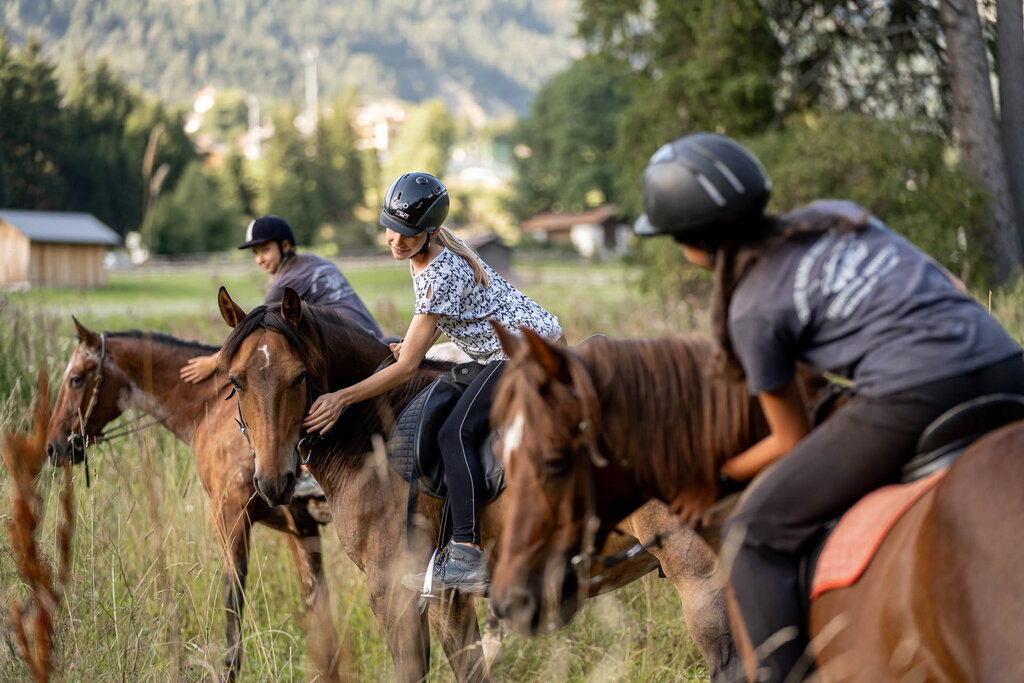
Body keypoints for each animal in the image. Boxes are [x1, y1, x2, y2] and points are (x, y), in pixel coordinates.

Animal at [44, 318, 341, 682]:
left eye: (75, 379)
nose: (53, 446)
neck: (211, 407)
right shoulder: (301, 530)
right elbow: (324, 630)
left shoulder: (230, 517)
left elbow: (233, 621)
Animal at [214, 285, 744, 682]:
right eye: (236, 381)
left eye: (299, 377)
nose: (274, 480)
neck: (374, 431)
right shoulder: (445, 599)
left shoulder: (393, 591)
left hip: (701, 576)